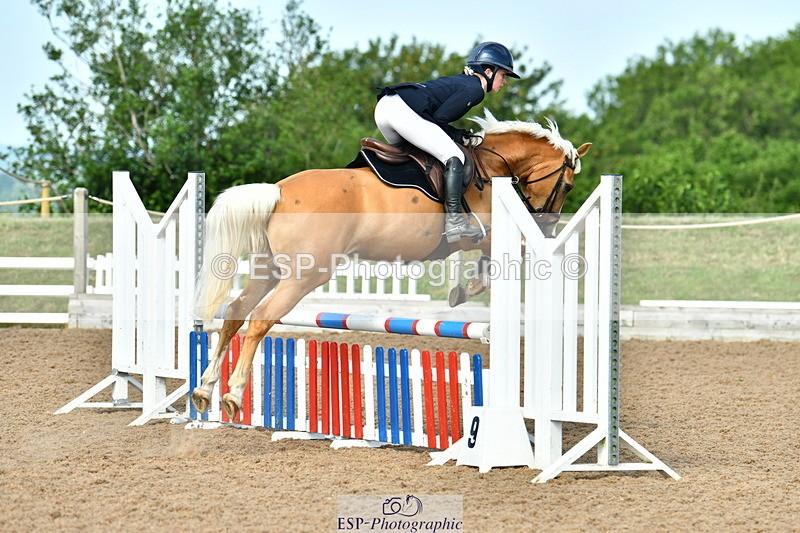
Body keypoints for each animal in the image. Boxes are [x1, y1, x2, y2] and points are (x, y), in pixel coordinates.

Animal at [190, 109, 591, 420]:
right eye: (568, 186)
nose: (547, 227)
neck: (492, 166)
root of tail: (279, 191)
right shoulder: (483, 233)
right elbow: (506, 254)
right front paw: (471, 288)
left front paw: (464, 290)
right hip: (304, 275)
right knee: (260, 318)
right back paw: (232, 393)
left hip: (269, 269)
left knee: (236, 313)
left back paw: (205, 389)